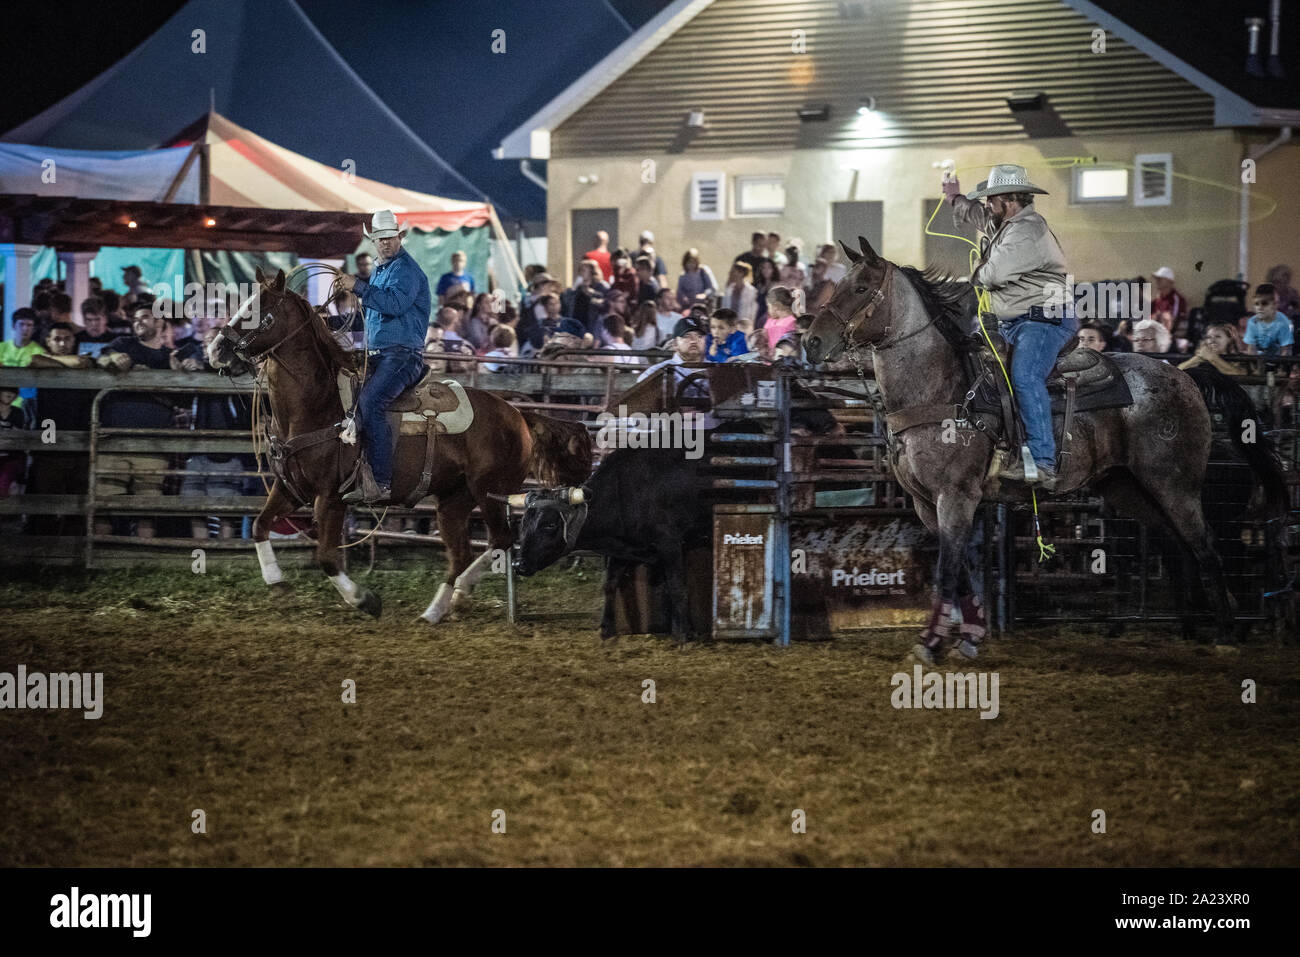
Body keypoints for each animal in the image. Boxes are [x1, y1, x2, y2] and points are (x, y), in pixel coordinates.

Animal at [205, 269, 592, 624]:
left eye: (262, 313)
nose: (216, 350)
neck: (316, 405)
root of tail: (517, 413)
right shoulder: (290, 489)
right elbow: (260, 526)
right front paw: (277, 582)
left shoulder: (331, 496)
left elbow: (327, 557)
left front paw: (364, 600)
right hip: (453, 500)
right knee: (463, 554)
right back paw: (438, 609)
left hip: (490, 492)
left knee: (501, 540)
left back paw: (459, 594)